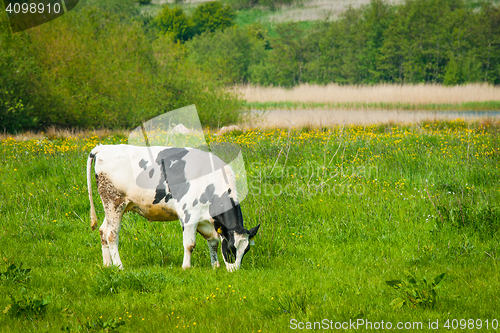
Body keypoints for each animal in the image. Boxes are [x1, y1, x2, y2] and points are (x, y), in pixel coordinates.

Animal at [86, 144, 260, 272]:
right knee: (111, 235)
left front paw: (215, 266)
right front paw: (186, 267)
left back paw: (108, 264)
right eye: (230, 249)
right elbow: (189, 244)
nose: (235, 271)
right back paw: (119, 266)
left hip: (113, 207)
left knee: (102, 230)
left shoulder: (207, 221)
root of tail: (103, 147)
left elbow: (213, 242)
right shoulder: (188, 215)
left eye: (245, 250)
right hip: (114, 202)